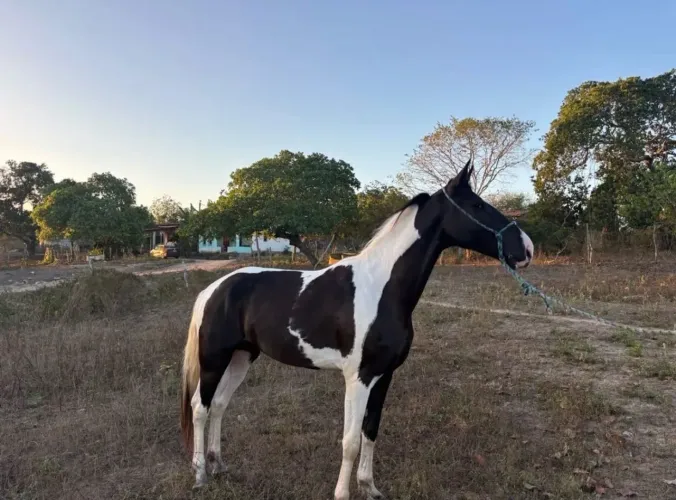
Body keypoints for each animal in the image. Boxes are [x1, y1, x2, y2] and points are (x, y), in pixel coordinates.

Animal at [180, 158, 534, 500]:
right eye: (477, 205)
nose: (527, 248)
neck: (381, 288)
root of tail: (213, 289)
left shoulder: (384, 374)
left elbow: (370, 431)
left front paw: (369, 487)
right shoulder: (358, 377)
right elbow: (350, 441)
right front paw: (343, 493)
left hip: (242, 356)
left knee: (220, 404)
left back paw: (218, 465)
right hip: (214, 359)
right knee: (200, 407)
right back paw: (200, 475)